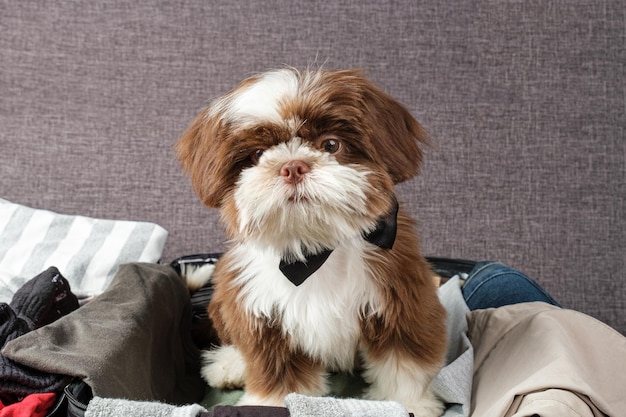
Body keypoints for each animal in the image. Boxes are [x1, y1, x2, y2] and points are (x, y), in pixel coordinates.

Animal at [176, 69, 446, 416]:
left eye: (331, 144)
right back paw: (229, 365)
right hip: (224, 298)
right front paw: (271, 403)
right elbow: (279, 373)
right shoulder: (263, 315)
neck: (316, 248)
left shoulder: (400, 299)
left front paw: (406, 403)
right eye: (257, 155)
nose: (292, 167)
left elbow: (402, 363)